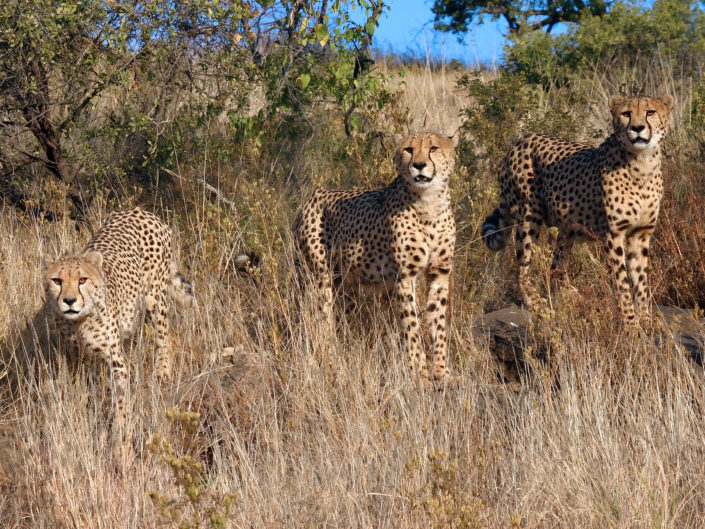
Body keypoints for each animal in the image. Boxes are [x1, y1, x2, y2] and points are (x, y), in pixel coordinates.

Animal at [43, 207, 193, 431]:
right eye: (57, 281)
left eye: (82, 280)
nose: (69, 301)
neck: (80, 322)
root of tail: (141, 211)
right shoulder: (76, 356)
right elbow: (79, 386)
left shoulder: (115, 361)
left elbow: (120, 399)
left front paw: (119, 432)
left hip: (154, 297)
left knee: (164, 335)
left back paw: (162, 370)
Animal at [294, 131, 458, 381]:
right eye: (409, 149)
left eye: (434, 148)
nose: (419, 165)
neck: (429, 202)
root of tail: (313, 195)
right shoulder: (404, 277)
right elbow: (411, 326)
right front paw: (419, 371)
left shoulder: (439, 273)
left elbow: (438, 324)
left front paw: (441, 371)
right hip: (319, 278)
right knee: (320, 322)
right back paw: (330, 360)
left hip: (347, 286)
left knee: (340, 319)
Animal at [482, 94, 674, 323]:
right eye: (626, 114)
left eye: (650, 112)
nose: (637, 128)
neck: (643, 164)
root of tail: (521, 140)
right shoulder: (613, 235)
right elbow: (622, 284)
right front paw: (629, 322)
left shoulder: (640, 234)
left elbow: (641, 282)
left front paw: (645, 321)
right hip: (529, 215)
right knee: (522, 265)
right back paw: (536, 302)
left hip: (567, 227)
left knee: (556, 265)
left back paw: (571, 298)